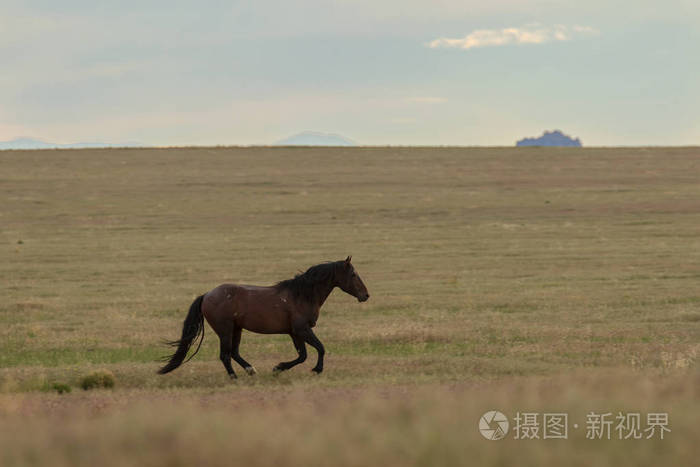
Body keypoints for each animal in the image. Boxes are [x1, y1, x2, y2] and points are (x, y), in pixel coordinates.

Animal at [157, 258, 370, 378]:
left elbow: (302, 355)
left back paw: (251, 370)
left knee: (234, 353)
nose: (366, 295)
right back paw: (234, 377)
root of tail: (207, 295)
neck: (301, 295)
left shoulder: (294, 333)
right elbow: (320, 348)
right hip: (225, 330)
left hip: (237, 329)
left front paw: (279, 368)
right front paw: (315, 369)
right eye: (353, 274)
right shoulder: (302, 329)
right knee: (225, 355)